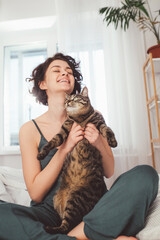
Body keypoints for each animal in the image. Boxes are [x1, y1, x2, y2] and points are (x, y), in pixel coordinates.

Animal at [37, 86, 117, 234]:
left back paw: (48, 228)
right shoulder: (63, 131)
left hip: (76, 198)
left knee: (66, 227)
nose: (67, 102)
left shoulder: (99, 122)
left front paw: (113, 141)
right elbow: (52, 142)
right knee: (65, 226)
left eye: (74, 98)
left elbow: (107, 130)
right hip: (59, 199)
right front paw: (41, 154)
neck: (79, 118)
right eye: (66, 99)